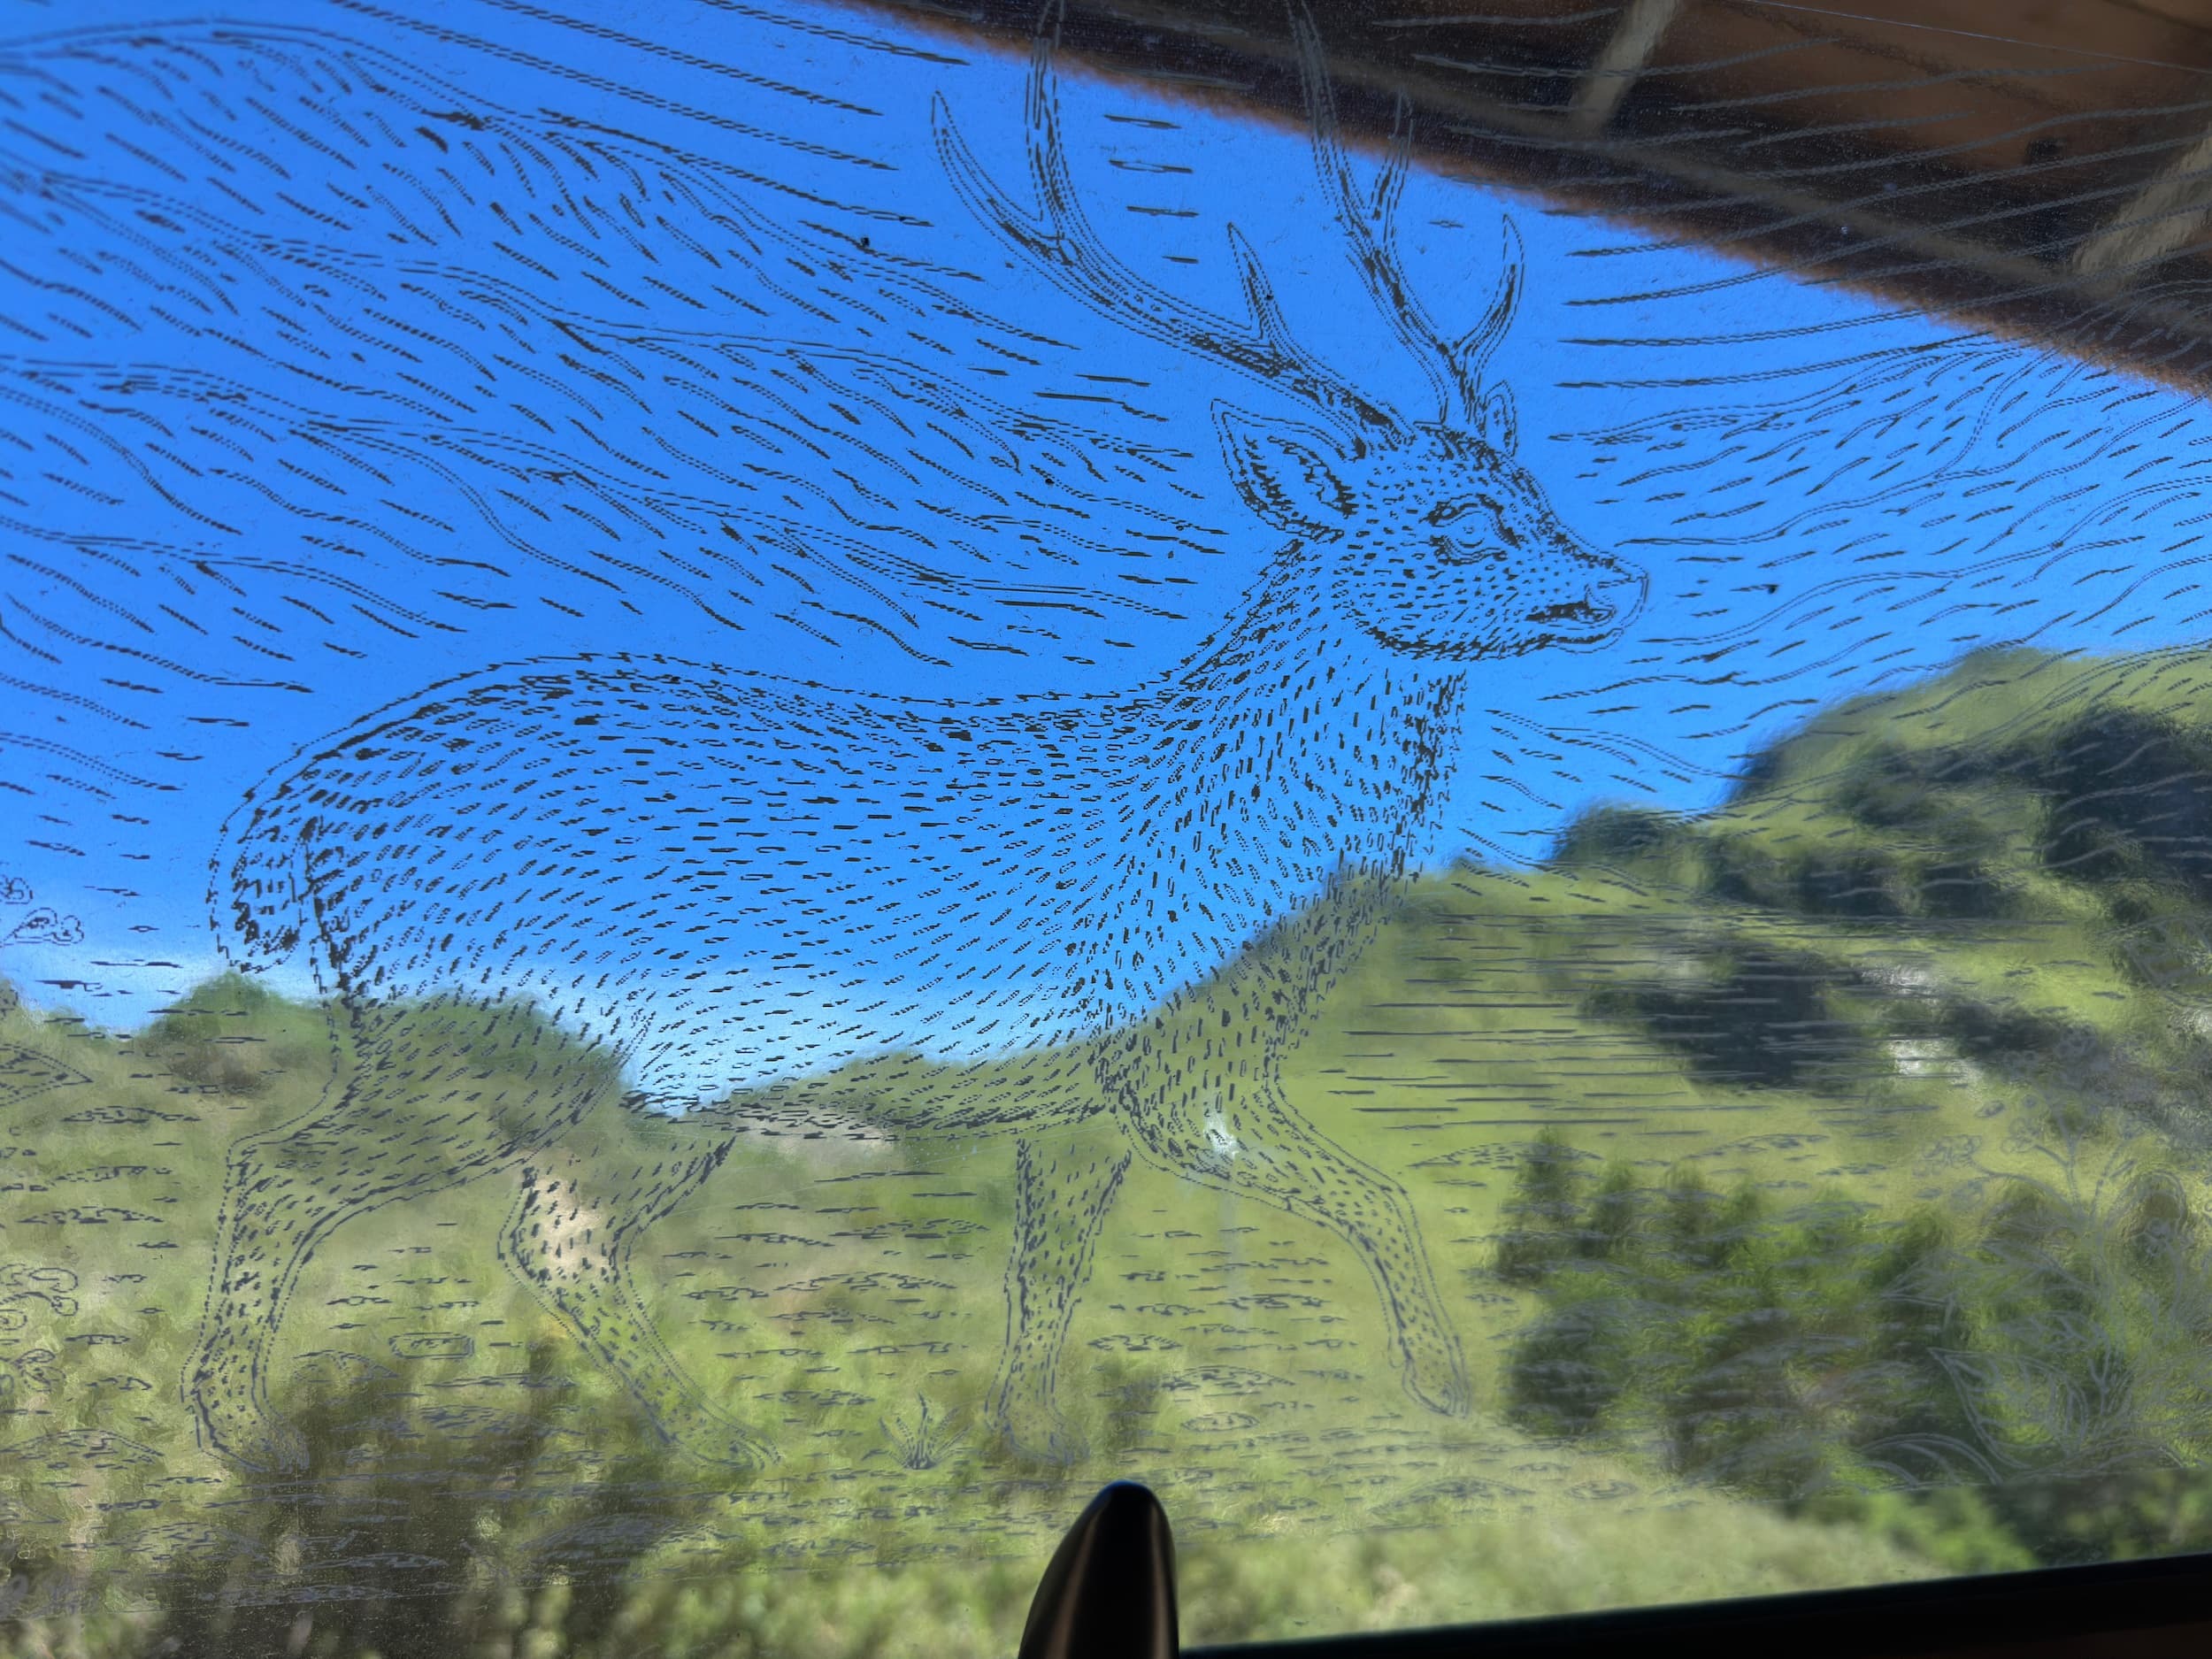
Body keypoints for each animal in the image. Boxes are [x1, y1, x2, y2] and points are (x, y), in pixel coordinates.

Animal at [182, 1, 1644, 1473]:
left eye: (1530, 490)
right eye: (1457, 521)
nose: (1620, 580)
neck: (1247, 864)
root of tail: (291, 812)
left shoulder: (1082, 1109)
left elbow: (1046, 1285)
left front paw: (1032, 1451)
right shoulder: (1174, 1067)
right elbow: (1380, 1194)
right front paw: (1449, 1393)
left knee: (539, 1231)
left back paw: (708, 1437)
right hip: (484, 1032)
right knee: (306, 1176)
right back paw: (275, 1438)